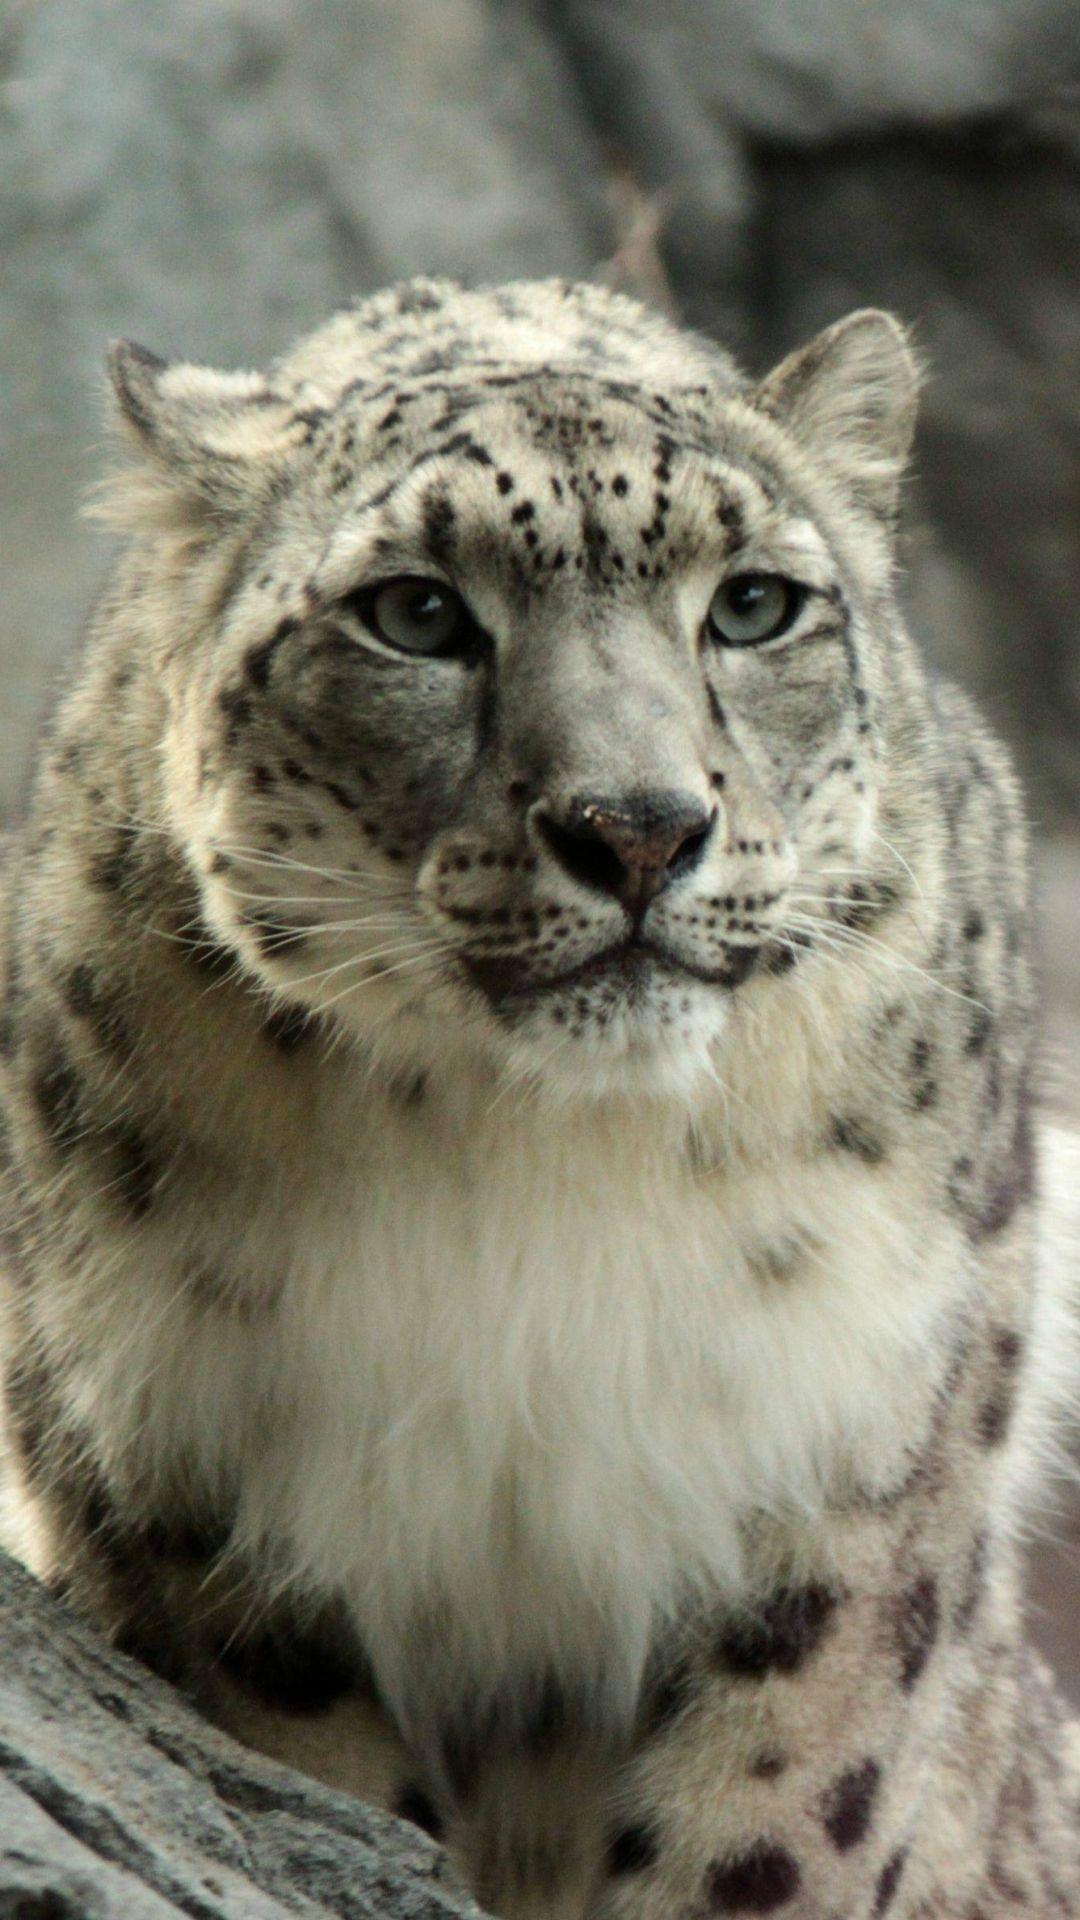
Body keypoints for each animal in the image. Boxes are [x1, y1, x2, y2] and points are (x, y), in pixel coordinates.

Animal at [1, 274, 1078, 1920]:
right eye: (417, 613)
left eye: (754, 603)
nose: (637, 829)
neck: (538, 1162)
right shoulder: (180, 1465)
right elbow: (305, 1762)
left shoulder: (863, 1451)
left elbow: (772, 1814)